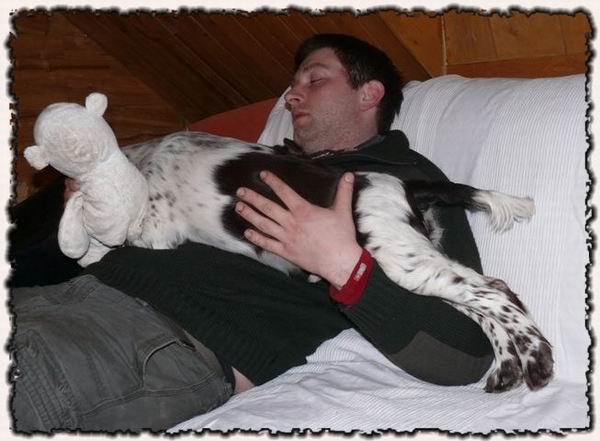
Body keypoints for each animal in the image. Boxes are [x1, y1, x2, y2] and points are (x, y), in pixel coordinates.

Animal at [121, 131, 554, 393]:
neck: (143, 154)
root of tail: (405, 186)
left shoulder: (154, 230)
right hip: (418, 258)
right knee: (484, 300)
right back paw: (507, 367)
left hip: (401, 261)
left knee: (495, 291)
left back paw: (536, 359)